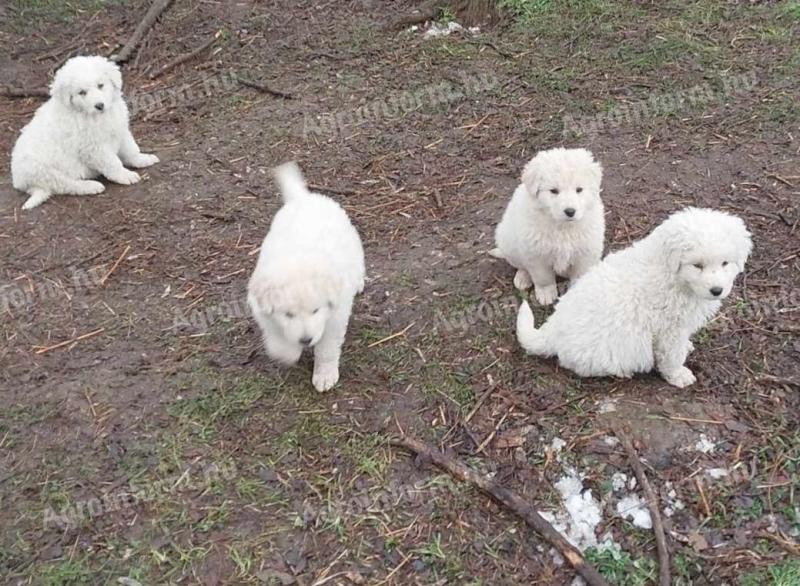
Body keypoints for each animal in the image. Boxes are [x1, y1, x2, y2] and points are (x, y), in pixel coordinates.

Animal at [10, 55, 158, 210]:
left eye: (100, 85)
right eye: (82, 92)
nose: (99, 105)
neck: (95, 116)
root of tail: (21, 183)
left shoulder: (120, 129)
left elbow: (130, 149)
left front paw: (142, 159)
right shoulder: (92, 147)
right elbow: (112, 162)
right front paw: (125, 175)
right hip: (42, 171)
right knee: (67, 185)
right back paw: (90, 186)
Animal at [247, 160, 366, 390]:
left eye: (315, 310)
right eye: (288, 314)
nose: (305, 340)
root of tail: (303, 198)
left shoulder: (335, 318)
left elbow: (327, 349)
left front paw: (325, 375)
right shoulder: (263, 312)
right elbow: (277, 337)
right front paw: (288, 352)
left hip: (353, 245)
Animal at [490, 147, 604, 306]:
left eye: (579, 189)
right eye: (554, 191)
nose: (570, 211)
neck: (563, 228)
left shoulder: (586, 252)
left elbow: (580, 274)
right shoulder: (536, 255)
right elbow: (543, 277)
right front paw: (546, 293)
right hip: (508, 242)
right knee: (521, 265)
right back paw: (522, 278)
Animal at [516, 208, 752, 386]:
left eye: (725, 263)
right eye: (697, 265)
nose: (717, 290)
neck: (672, 273)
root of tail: (551, 331)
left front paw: (687, 347)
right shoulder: (670, 329)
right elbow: (672, 355)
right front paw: (678, 375)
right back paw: (622, 372)